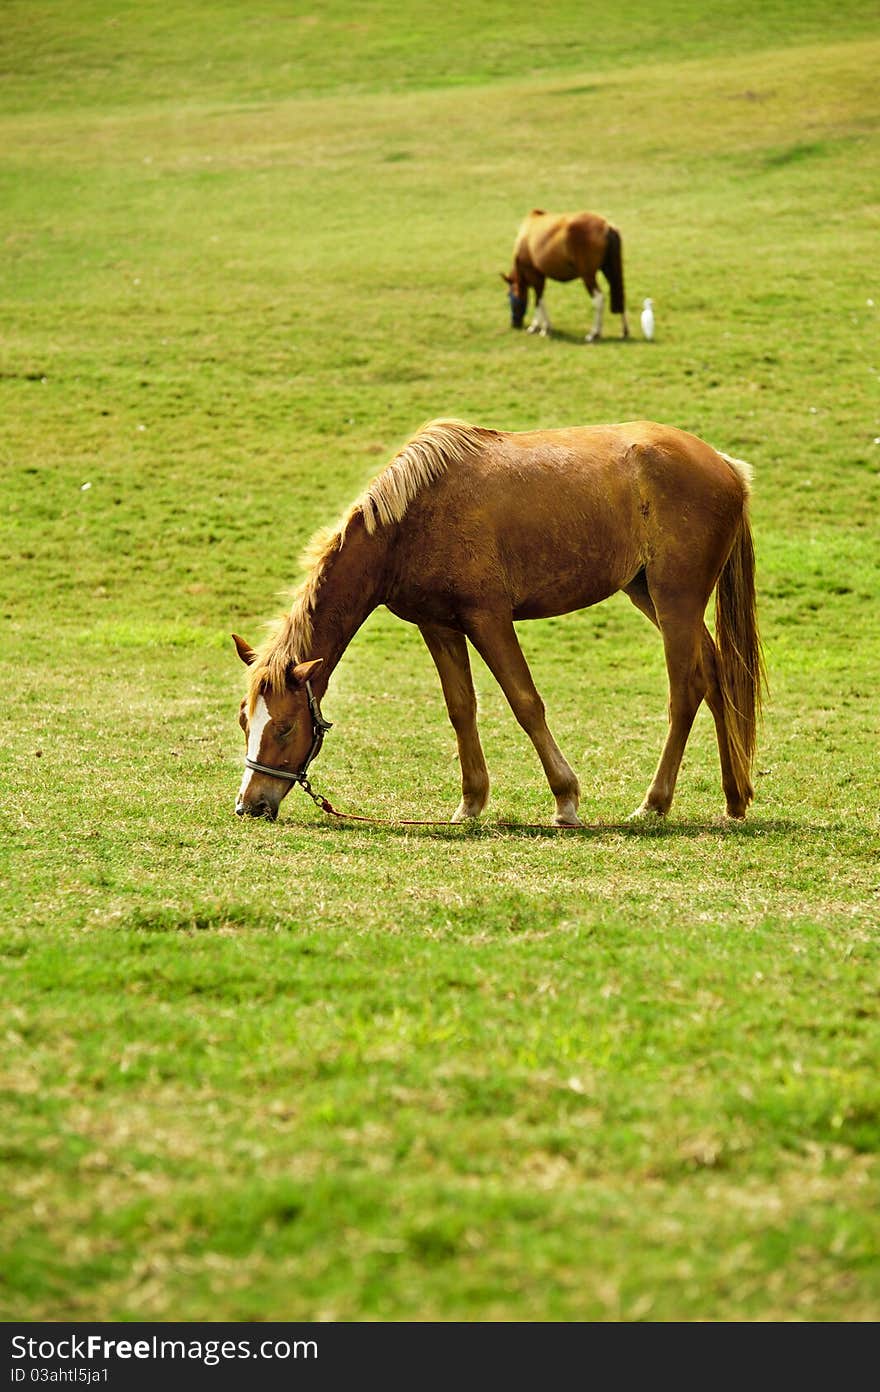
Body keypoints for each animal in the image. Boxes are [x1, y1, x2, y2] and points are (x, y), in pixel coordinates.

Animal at [232, 417, 763, 818]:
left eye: (284, 727)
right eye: (244, 720)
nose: (250, 804)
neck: (410, 521)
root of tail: (726, 466)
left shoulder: (488, 619)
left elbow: (525, 702)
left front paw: (565, 799)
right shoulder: (439, 626)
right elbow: (460, 709)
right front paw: (471, 802)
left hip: (676, 600)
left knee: (686, 691)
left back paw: (655, 803)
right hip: (650, 594)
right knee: (715, 675)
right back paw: (734, 798)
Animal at [498, 210, 629, 343]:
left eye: (509, 296)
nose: (514, 324)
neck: (525, 236)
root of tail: (606, 226)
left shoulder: (534, 275)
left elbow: (538, 300)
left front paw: (539, 327)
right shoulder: (541, 276)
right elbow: (540, 299)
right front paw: (543, 326)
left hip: (588, 276)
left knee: (598, 299)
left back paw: (593, 333)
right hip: (609, 270)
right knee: (619, 296)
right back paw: (623, 331)